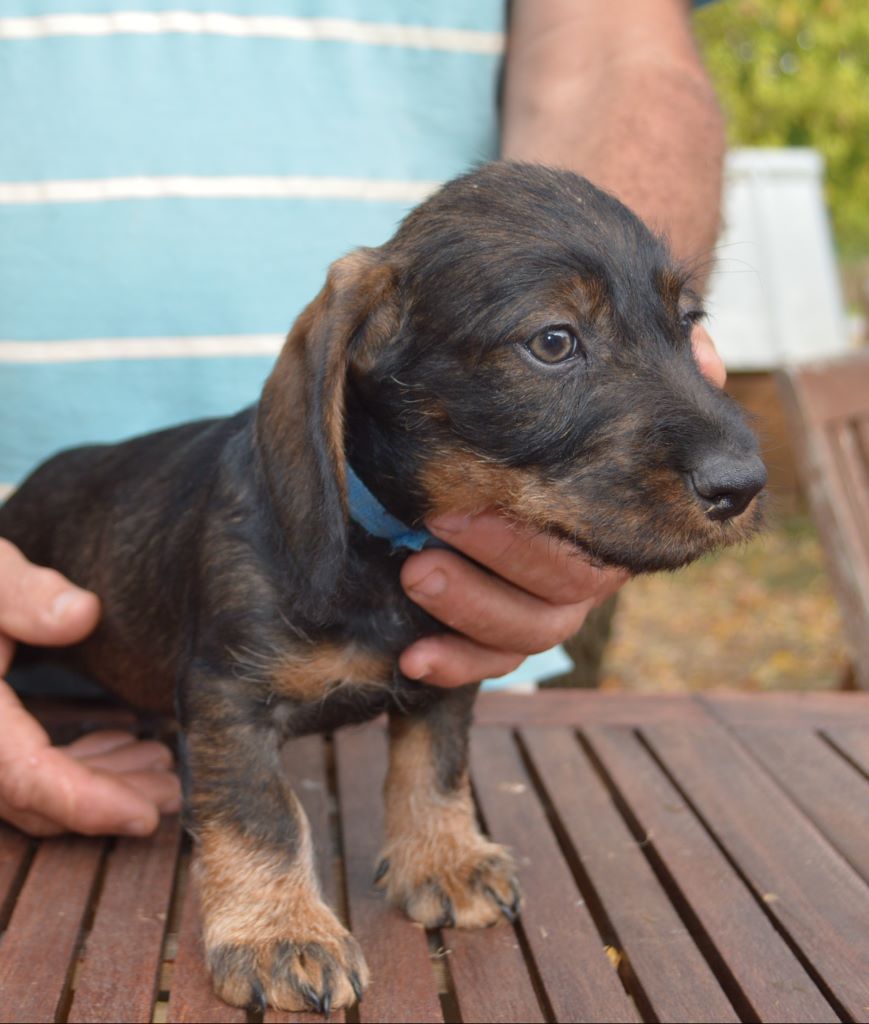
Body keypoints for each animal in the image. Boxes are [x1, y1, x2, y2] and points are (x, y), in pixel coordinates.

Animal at [0, 162, 765, 1013]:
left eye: (686, 323)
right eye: (553, 341)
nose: (743, 484)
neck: (381, 548)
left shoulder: (448, 668)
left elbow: (433, 763)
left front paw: (440, 859)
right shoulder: (228, 697)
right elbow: (262, 812)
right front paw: (278, 932)